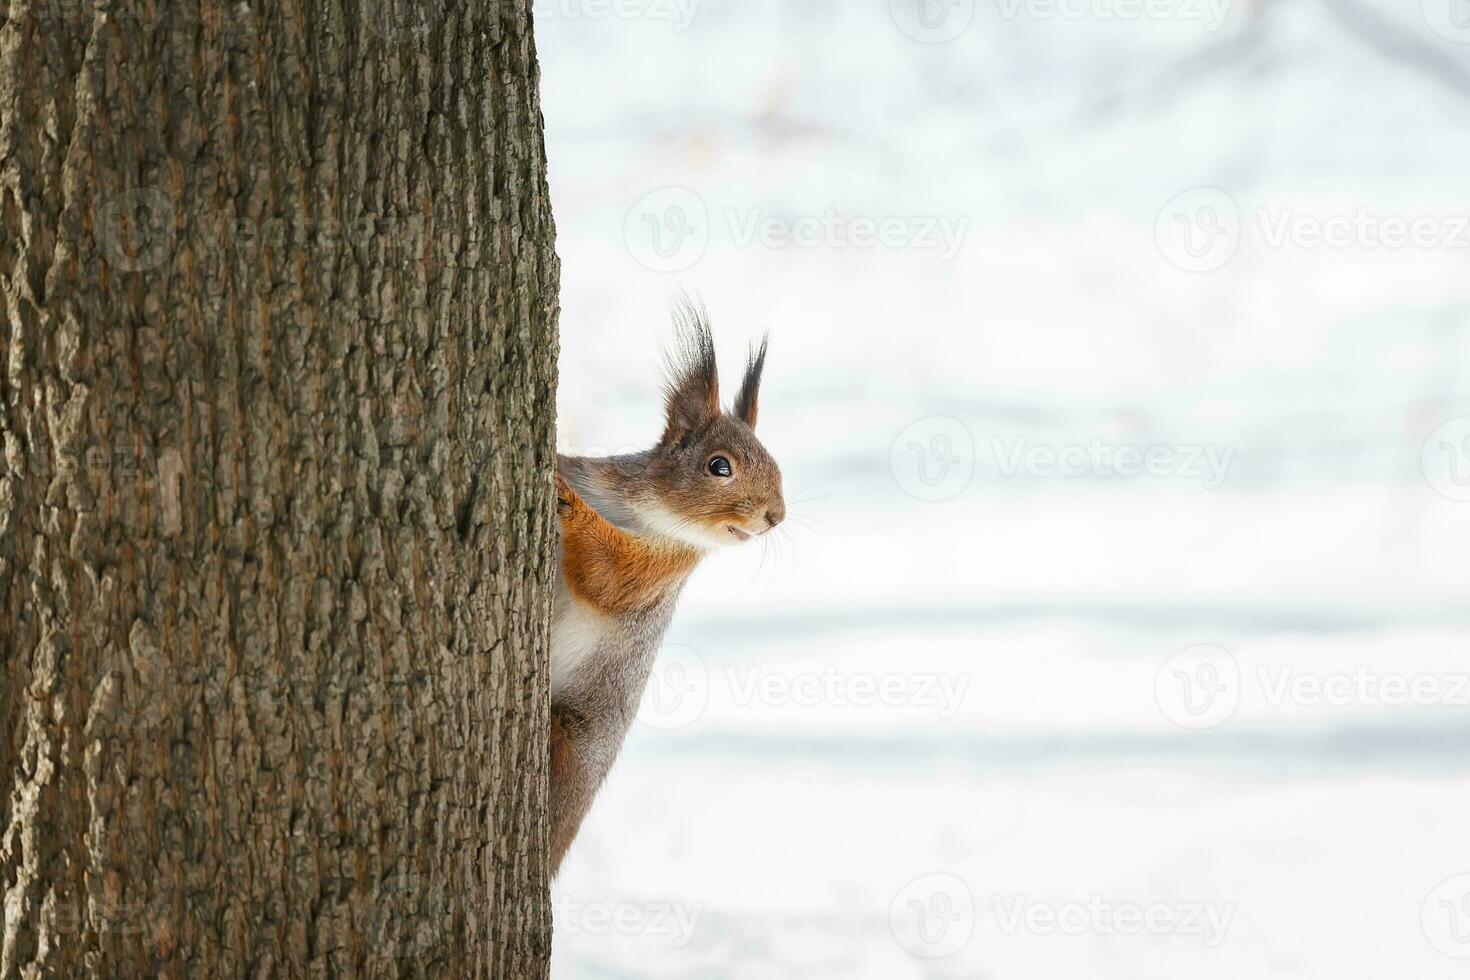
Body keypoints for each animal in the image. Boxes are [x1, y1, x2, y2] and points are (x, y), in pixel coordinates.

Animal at [549, 302, 782, 875]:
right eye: (719, 465)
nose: (777, 516)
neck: (638, 508)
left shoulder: (658, 572)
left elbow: (607, 576)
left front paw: (566, 500)